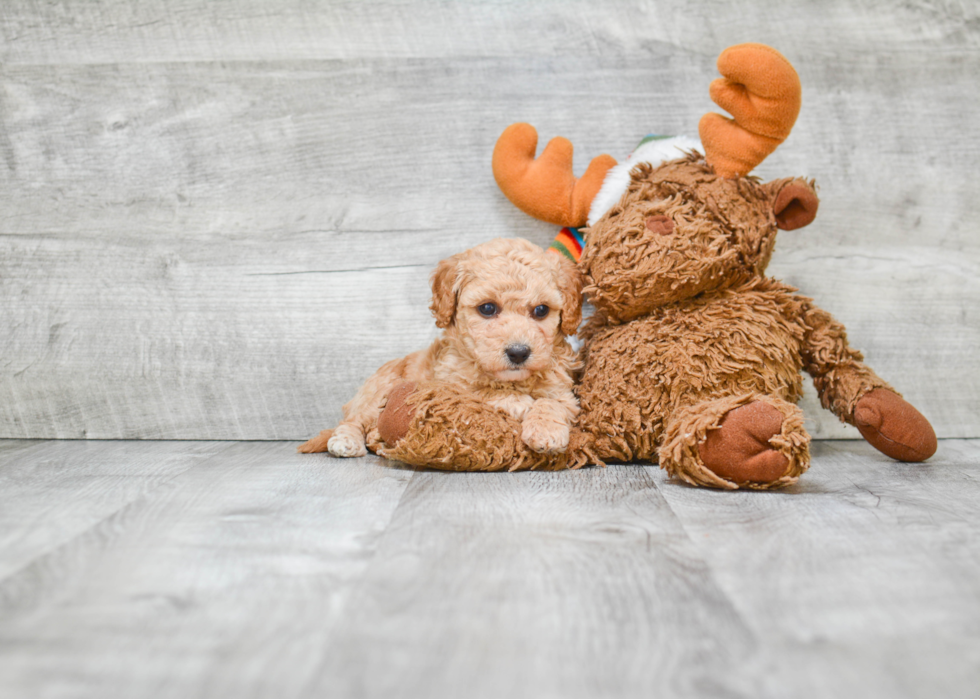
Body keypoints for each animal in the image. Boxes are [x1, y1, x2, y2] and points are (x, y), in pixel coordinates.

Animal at [296, 239, 580, 460]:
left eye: (541, 310)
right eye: (488, 308)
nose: (519, 352)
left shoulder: (563, 392)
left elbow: (552, 402)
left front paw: (547, 431)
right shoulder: (449, 386)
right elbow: (481, 392)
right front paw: (520, 402)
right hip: (378, 391)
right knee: (352, 421)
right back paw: (346, 442)